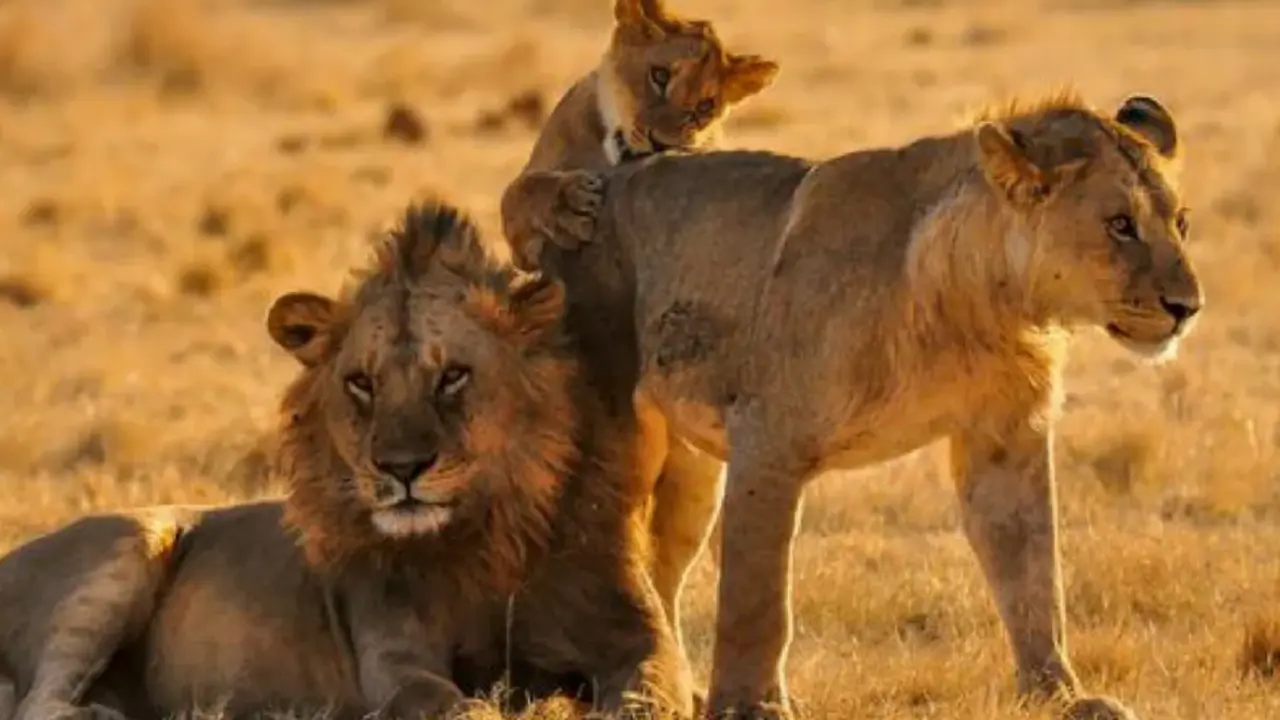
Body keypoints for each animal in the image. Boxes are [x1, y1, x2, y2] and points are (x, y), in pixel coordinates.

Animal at [0, 200, 691, 720]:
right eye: (362, 383)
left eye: (453, 376)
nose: (401, 468)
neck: (483, 540)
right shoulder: (393, 658)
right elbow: (450, 703)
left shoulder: (642, 639)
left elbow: (652, 694)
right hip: (128, 545)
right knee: (38, 702)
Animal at [499, 0, 778, 661]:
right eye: (658, 75)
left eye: (705, 106)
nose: (658, 140)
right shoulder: (525, 239)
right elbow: (521, 193)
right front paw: (569, 203)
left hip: (695, 485)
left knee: (661, 575)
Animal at [501, 92, 1203, 720]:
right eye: (1119, 225)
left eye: (1181, 223)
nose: (1187, 307)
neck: (985, 306)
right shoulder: (768, 439)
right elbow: (758, 598)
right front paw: (750, 707)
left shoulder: (1005, 437)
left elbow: (1032, 573)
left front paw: (1059, 694)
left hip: (690, 471)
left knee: (658, 569)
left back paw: (675, 690)